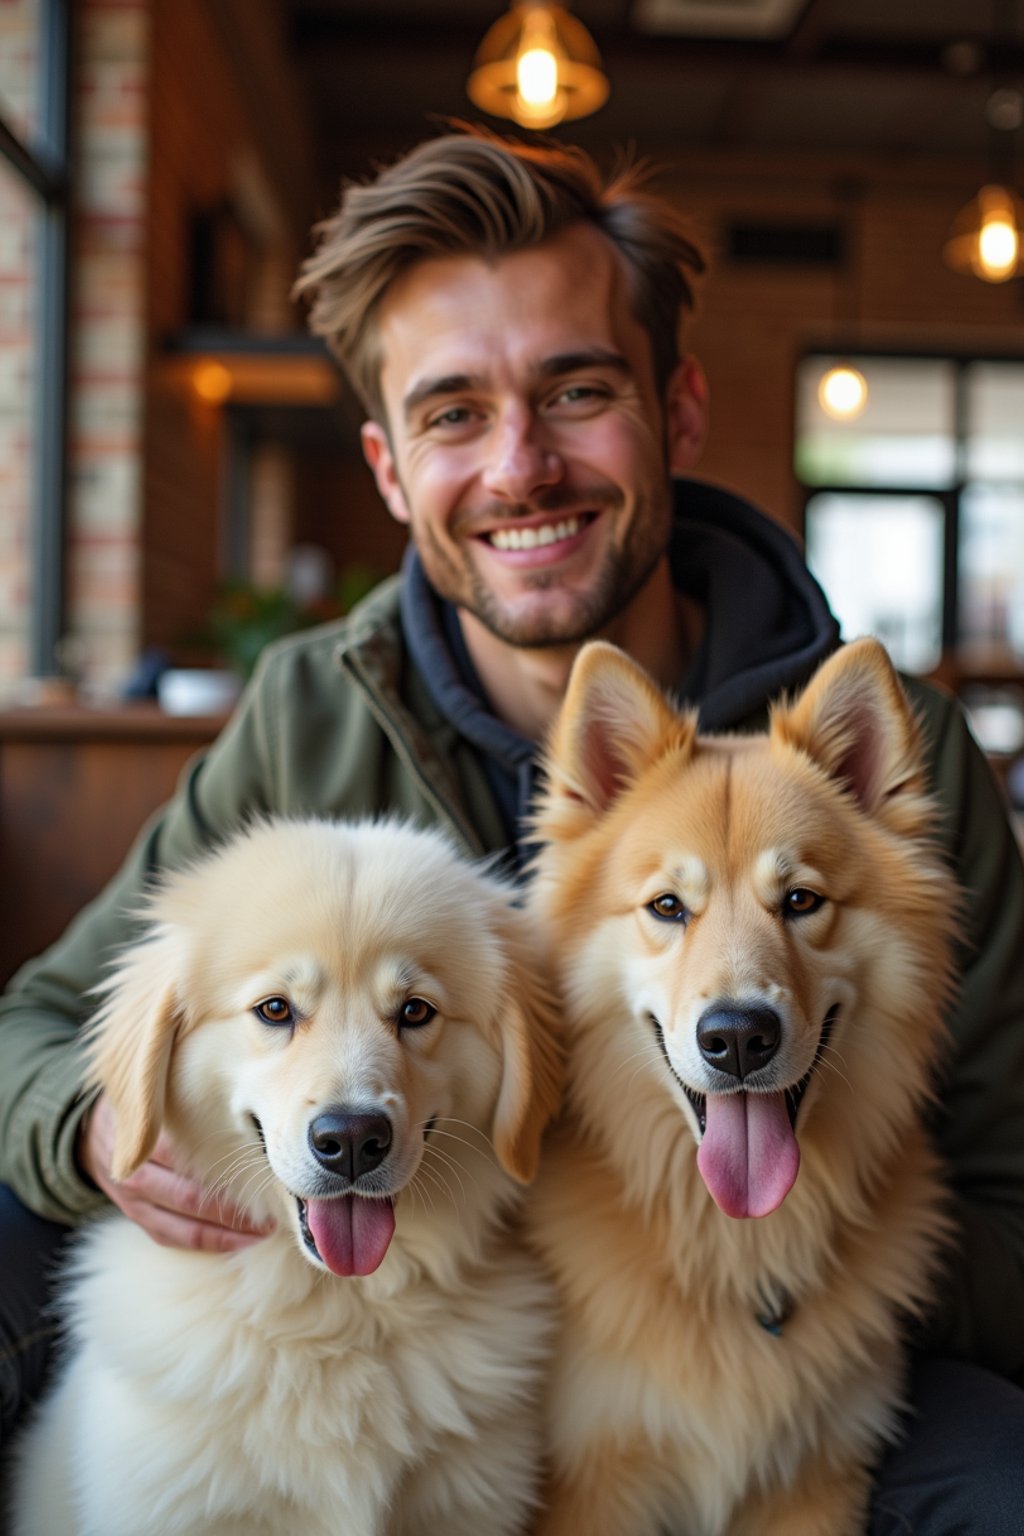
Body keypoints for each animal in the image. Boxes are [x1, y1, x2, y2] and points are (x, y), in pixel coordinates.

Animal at [528, 635, 951, 1536]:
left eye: (800, 900)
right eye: (666, 906)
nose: (737, 1038)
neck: (734, 1243)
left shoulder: (814, 1482)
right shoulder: (588, 1483)